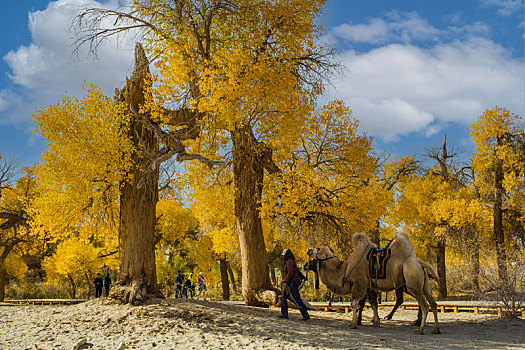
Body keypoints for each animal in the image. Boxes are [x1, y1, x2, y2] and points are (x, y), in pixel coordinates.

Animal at [304, 231, 440, 334]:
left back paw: (420, 329)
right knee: (433, 303)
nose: (309, 250)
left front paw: (353, 324)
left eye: (318, 249)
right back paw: (435, 329)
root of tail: (420, 263)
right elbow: (373, 304)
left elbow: (354, 304)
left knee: (424, 305)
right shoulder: (369, 288)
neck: (344, 268)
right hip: (423, 285)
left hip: (412, 283)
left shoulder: (359, 283)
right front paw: (376, 322)